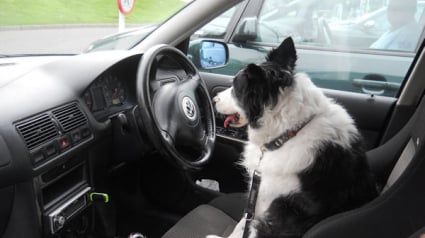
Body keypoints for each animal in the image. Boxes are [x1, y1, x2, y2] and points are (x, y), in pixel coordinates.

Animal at [209, 36, 378, 237]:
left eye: (236, 87)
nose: (214, 99)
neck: (290, 131)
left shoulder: (268, 203)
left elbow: (245, 225)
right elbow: (243, 221)